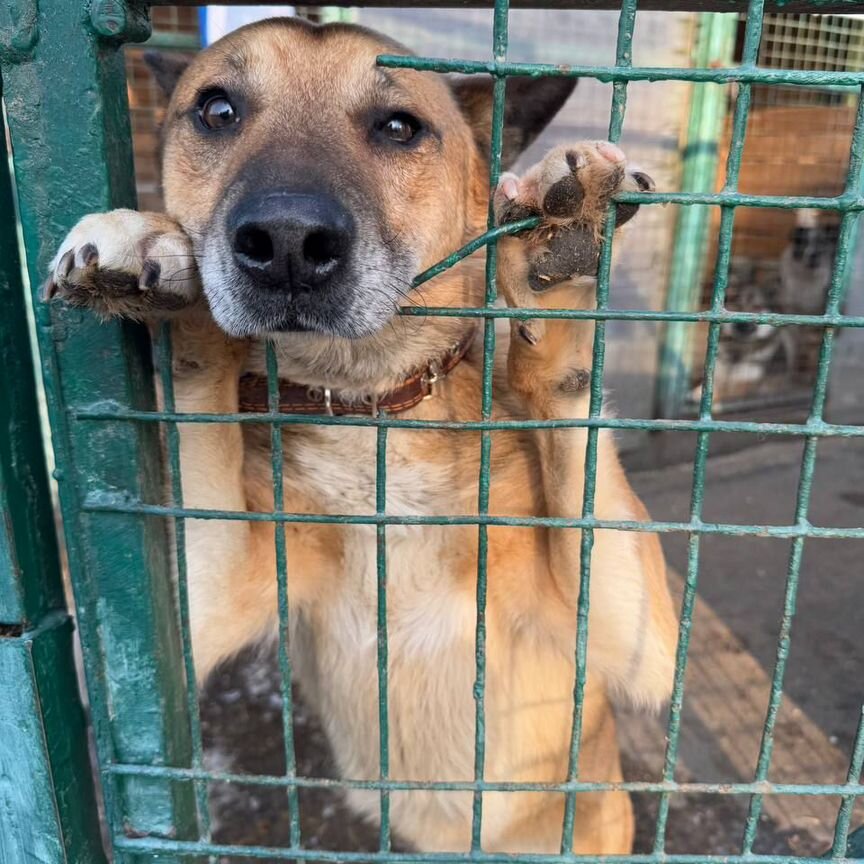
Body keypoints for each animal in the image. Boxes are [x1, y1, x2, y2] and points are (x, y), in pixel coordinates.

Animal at [47, 16, 680, 852]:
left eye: (398, 127)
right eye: (217, 110)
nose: (285, 241)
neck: (372, 411)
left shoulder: (645, 646)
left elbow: (575, 425)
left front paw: (561, 255)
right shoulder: (180, 626)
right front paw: (151, 253)